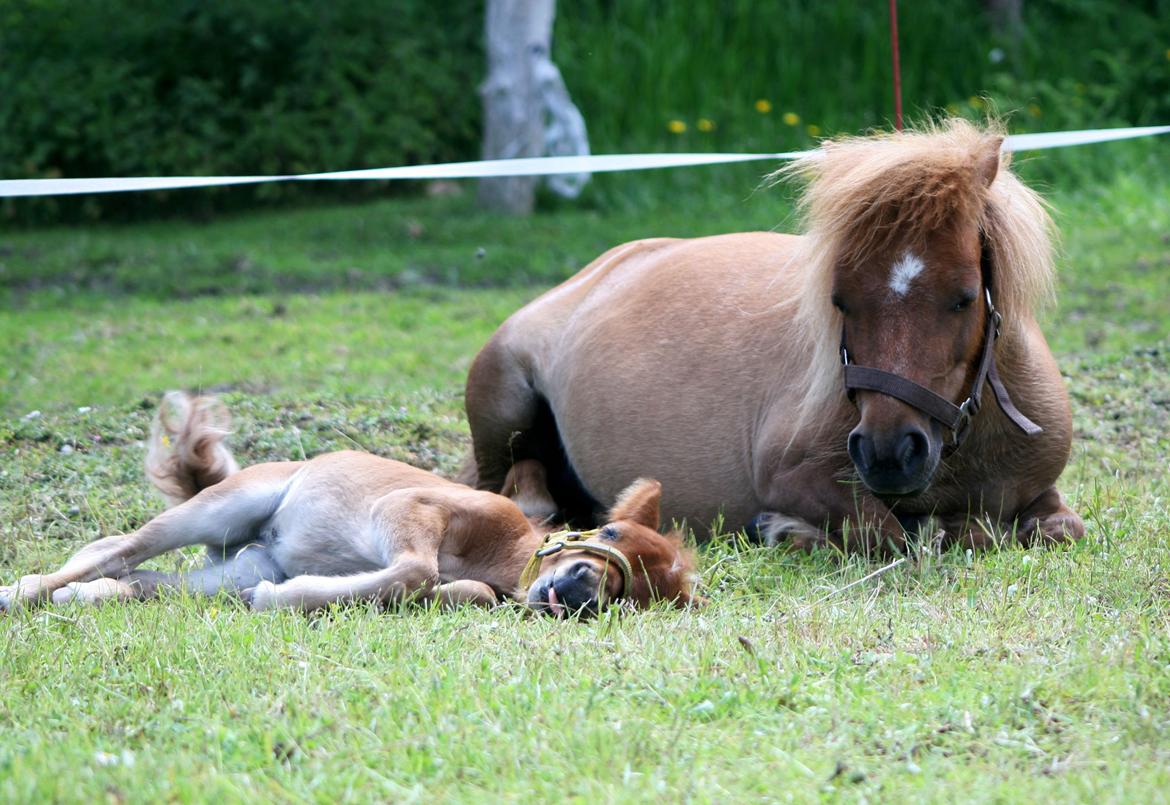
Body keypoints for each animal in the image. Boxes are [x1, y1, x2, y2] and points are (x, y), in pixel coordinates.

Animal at [0, 393, 698, 617]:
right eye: (609, 533)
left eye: (636, 596)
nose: (581, 588)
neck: (502, 551)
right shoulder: (411, 506)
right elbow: (413, 569)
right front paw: (285, 599)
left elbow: (449, 590)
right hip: (219, 509)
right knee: (118, 547)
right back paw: (24, 590)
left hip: (227, 569)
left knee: (139, 576)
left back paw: (83, 596)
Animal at [462, 119, 1084, 551]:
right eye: (840, 301)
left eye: (962, 297)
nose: (888, 453)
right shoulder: (795, 477)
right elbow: (885, 533)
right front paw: (784, 529)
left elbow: (1058, 527)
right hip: (503, 411)